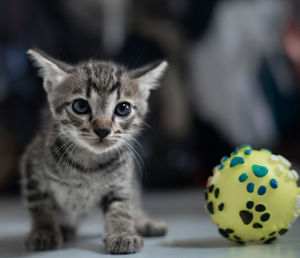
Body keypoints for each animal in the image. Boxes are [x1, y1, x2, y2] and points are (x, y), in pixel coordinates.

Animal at [21, 49, 169, 255]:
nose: (102, 130)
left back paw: (144, 221)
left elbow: (122, 207)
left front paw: (122, 234)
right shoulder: (31, 168)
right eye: (80, 106)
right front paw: (44, 232)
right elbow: (40, 206)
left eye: (123, 108)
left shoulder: (121, 181)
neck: (88, 163)